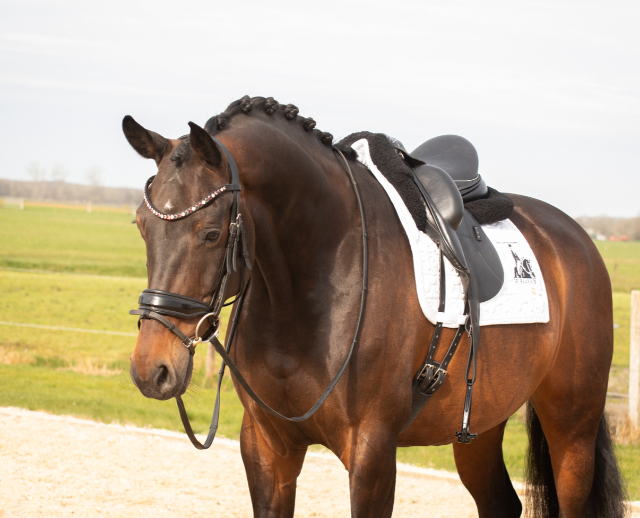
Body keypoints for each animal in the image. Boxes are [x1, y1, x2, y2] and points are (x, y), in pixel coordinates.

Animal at [123, 96, 626, 518]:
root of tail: (576, 238)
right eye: (142, 226)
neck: (306, 293)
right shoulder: (267, 446)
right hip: (481, 426)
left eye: (210, 233)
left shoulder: (372, 453)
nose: (152, 370)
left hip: (572, 429)